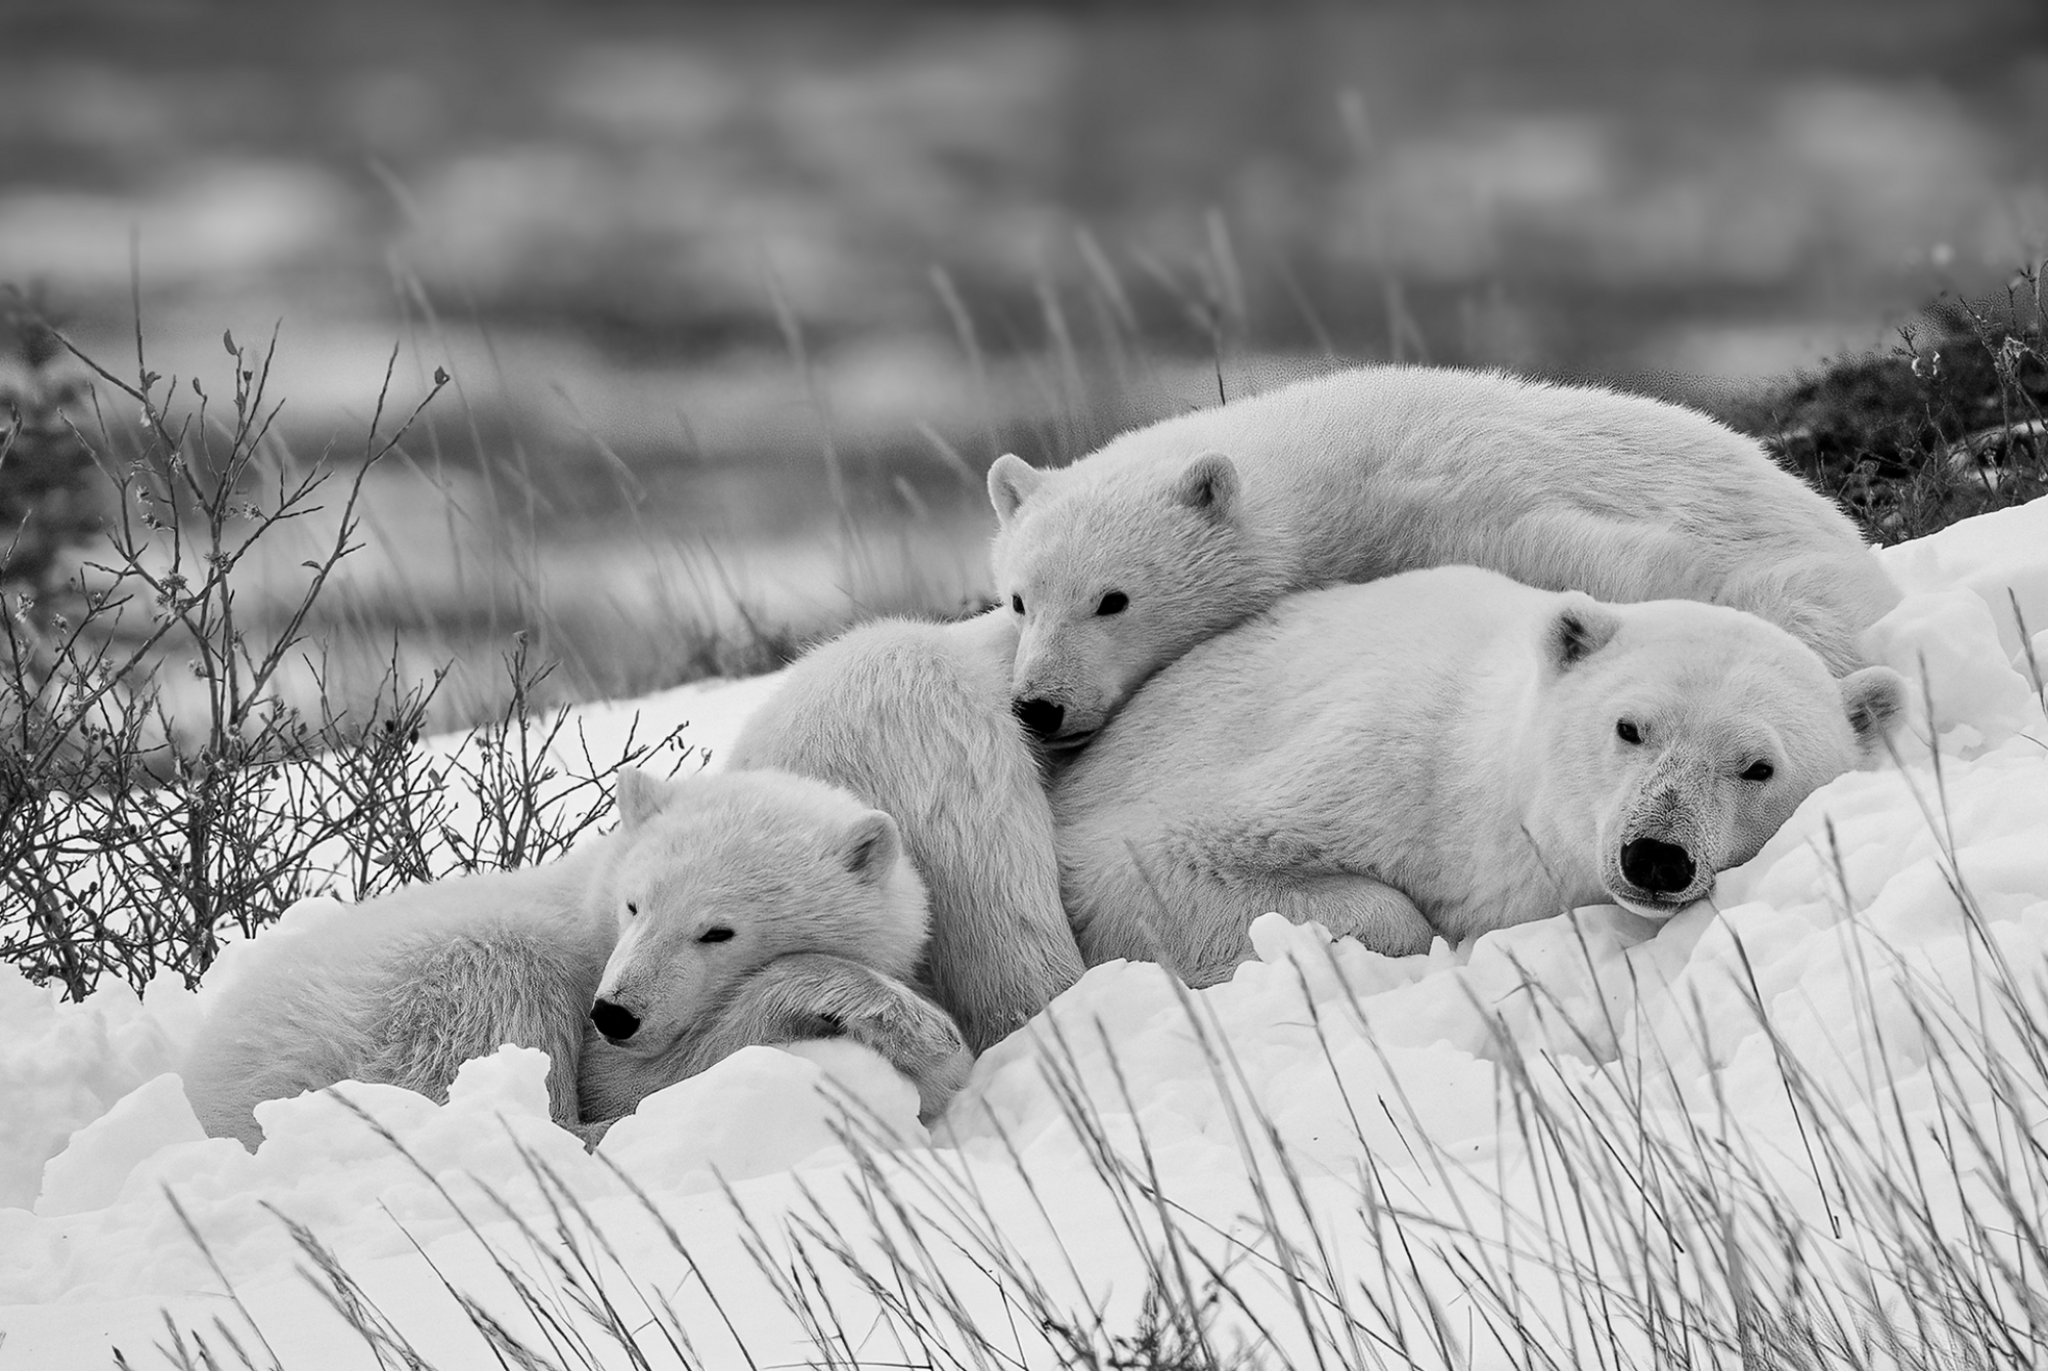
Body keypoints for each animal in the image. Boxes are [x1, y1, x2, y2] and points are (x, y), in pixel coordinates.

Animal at [182, 770, 966, 1147]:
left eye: (718, 931)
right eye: (634, 904)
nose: (615, 1013)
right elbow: (629, 1081)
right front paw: (906, 1029)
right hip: (430, 990)